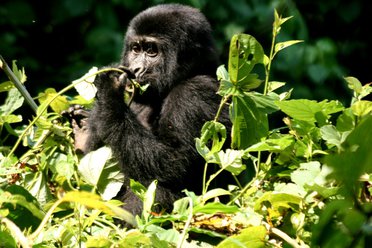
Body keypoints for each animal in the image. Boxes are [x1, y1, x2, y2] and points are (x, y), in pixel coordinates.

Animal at [67, 3, 230, 217]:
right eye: (136, 49)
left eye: (152, 51)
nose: (135, 69)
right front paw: (87, 131)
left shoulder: (194, 94)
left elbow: (173, 164)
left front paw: (109, 87)